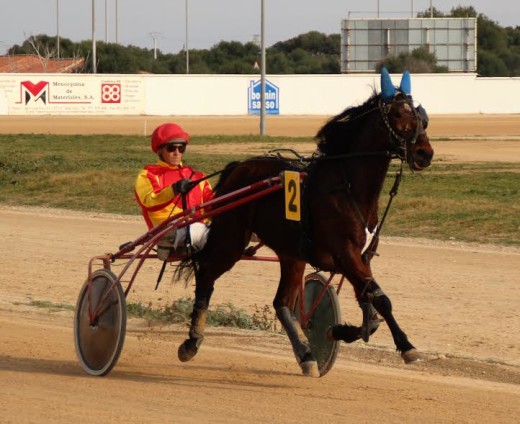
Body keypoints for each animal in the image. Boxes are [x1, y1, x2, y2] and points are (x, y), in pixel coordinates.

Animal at [177, 68, 432, 378]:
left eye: (420, 115)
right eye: (396, 114)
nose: (425, 153)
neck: (349, 188)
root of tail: (238, 167)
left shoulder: (362, 257)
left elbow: (369, 307)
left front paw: (340, 330)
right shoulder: (346, 253)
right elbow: (380, 299)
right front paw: (407, 347)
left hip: (291, 254)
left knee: (281, 303)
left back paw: (306, 355)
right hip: (231, 240)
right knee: (206, 275)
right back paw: (191, 342)